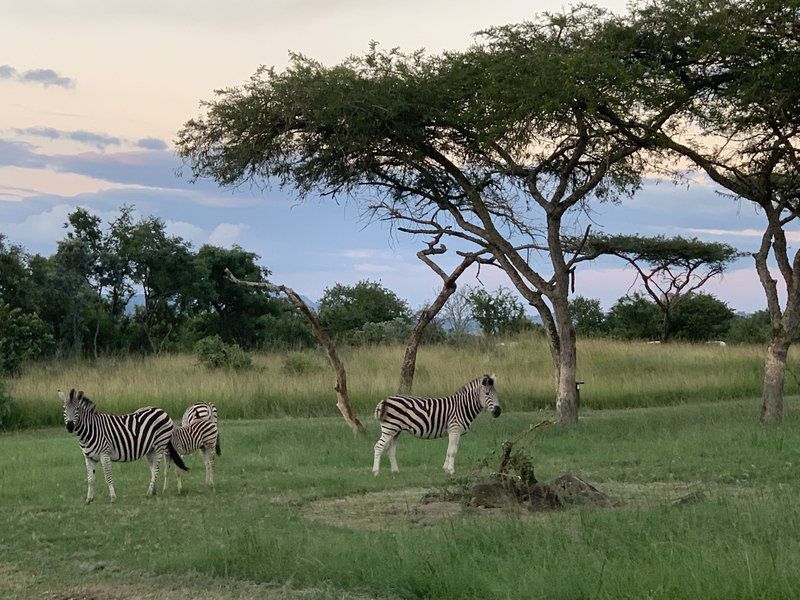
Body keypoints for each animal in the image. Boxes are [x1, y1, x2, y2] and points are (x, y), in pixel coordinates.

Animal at [59, 390, 188, 502]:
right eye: (64, 408)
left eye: (77, 409)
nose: (70, 426)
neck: (90, 430)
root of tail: (161, 410)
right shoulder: (88, 457)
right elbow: (90, 479)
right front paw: (89, 499)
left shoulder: (104, 454)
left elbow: (108, 477)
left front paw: (113, 498)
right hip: (150, 449)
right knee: (153, 470)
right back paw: (153, 491)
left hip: (160, 445)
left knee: (156, 469)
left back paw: (149, 492)